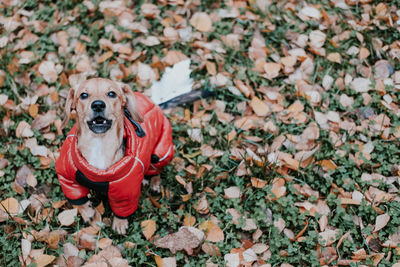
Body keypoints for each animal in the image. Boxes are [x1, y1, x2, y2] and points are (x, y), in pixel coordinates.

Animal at [55, 78, 174, 234]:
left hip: (161, 152)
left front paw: (119, 223)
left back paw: (154, 183)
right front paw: (90, 215)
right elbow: (81, 202)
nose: (98, 105)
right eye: (83, 95)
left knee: (156, 170)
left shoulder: (126, 192)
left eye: (111, 93)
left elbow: (122, 211)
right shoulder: (67, 177)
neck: (99, 144)